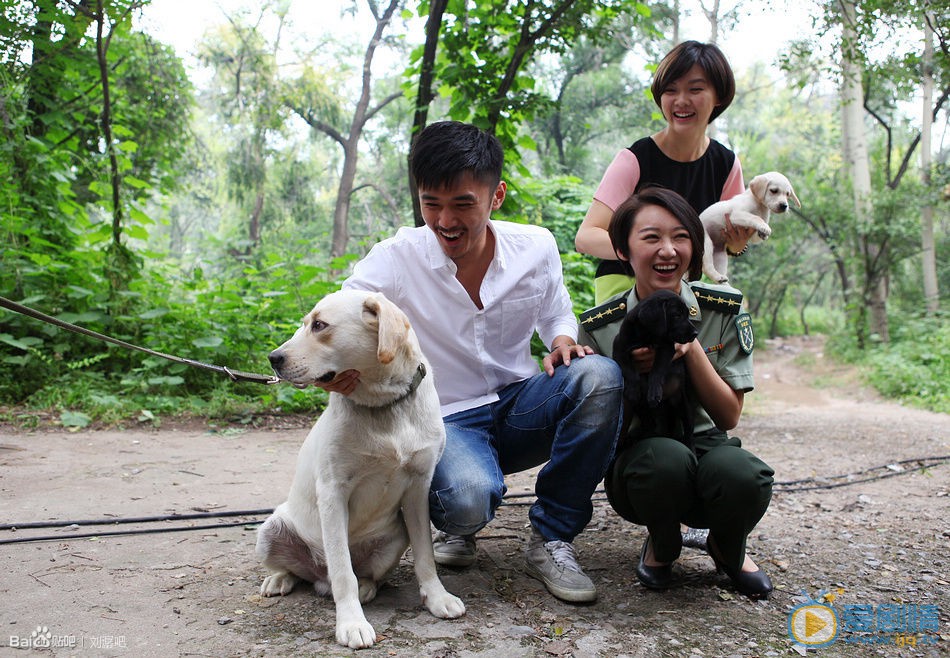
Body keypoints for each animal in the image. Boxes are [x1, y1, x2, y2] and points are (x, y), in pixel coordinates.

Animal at [258, 290, 466, 648]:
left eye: (319, 325)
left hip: (396, 537)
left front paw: (437, 598)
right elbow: (343, 572)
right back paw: (280, 579)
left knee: (365, 575)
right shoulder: (332, 492)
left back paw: (368, 586)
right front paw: (351, 623)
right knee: (304, 571)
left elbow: (426, 556)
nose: (273, 358)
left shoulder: (418, 489)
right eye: (306, 323)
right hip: (269, 531)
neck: (384, 404)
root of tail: (319, 576)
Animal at [616, 290, 700, 452]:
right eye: (677, 315)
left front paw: (654, 392)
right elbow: (630, 371)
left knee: (689, 431)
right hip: (643, 408)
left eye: (687, 314)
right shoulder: (620, 347)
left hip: (685, 403)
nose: (695, 333)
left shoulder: (667, 348)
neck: (647, 335)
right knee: (650, 424)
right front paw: (633, 390)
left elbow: (657, 370)